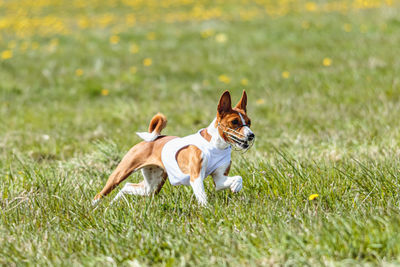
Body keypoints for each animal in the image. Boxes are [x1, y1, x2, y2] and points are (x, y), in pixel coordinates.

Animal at [92, 91, 255, 206]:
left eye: (249, 122)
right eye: (234, 122)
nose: (251, 135)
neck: (215, 146)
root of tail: (154, 138)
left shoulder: (220, 178)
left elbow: (237, 178)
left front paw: (236, 186)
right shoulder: (196, 176)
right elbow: (202, 198)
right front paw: (207, 211)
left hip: (152, 186)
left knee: (127, 186)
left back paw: (114, 204)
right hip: (121, 173)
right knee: (102, 193)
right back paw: (94, 207)